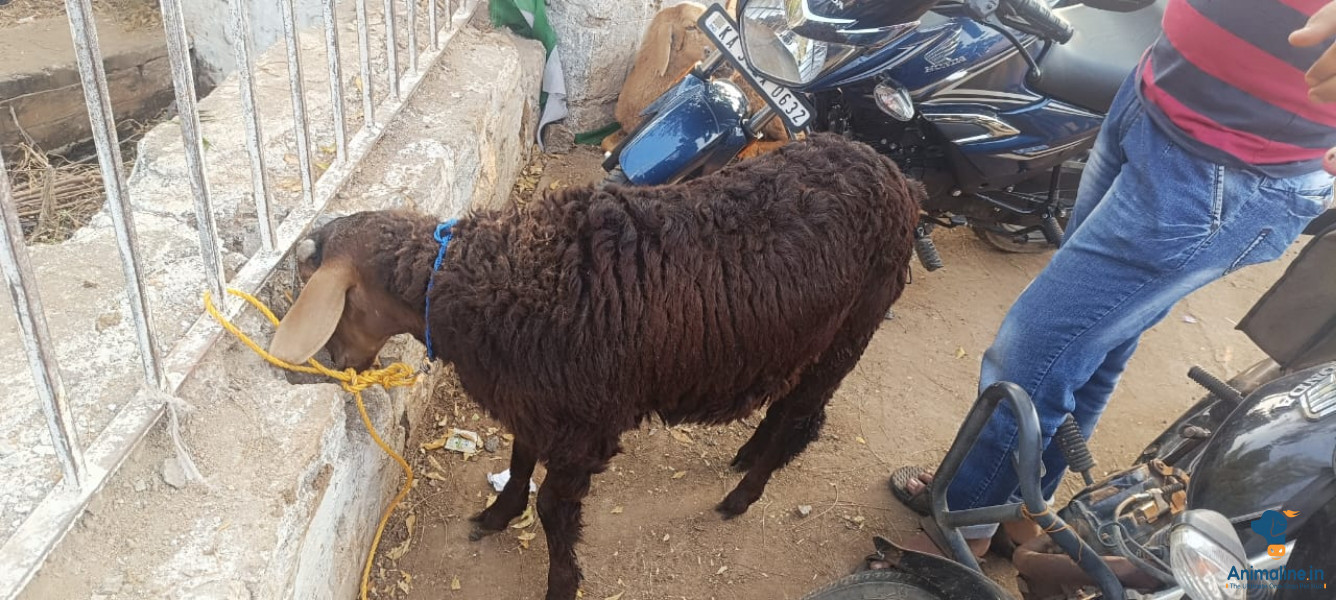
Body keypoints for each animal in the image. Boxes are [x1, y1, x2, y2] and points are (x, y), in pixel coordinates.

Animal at [267, 133, 921, 600]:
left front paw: (561, 585)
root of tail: (894, 174)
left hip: (851, 329)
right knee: (786, 406)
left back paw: (742, 496)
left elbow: (555, 511)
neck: (488, 279)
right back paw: (745, 457)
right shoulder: (536, 404)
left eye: (325, 297)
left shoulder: (585, 426)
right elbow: (519, 462)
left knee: (799, 415)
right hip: (800, 337)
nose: (324, 364)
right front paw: (496, 515)